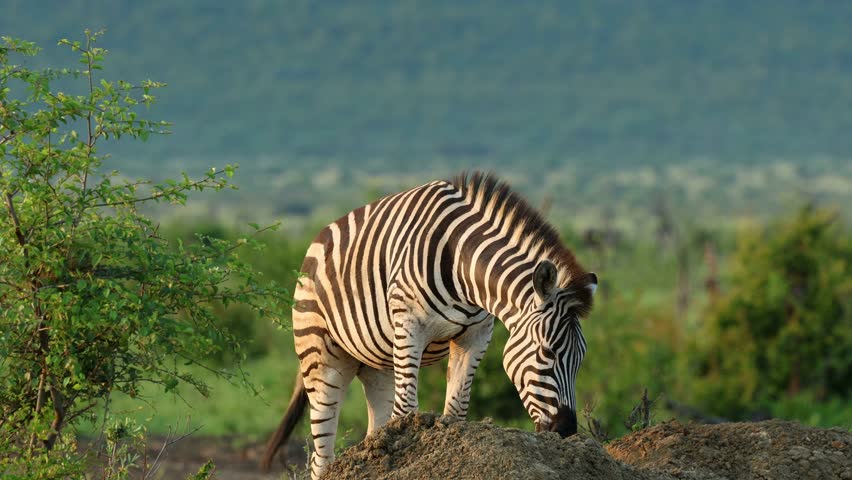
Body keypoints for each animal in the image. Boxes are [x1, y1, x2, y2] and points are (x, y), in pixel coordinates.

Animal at [261, 172, 597, 478]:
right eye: (548, 352)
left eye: (581, 358)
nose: (566, 430)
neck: (462, 264)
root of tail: (317, 241)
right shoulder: (410, 327)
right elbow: (408, 409)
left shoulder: (475, 336)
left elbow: (457, 410)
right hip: (321, 359)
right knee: (322, 455)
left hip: (378, 363)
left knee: (375, 426)